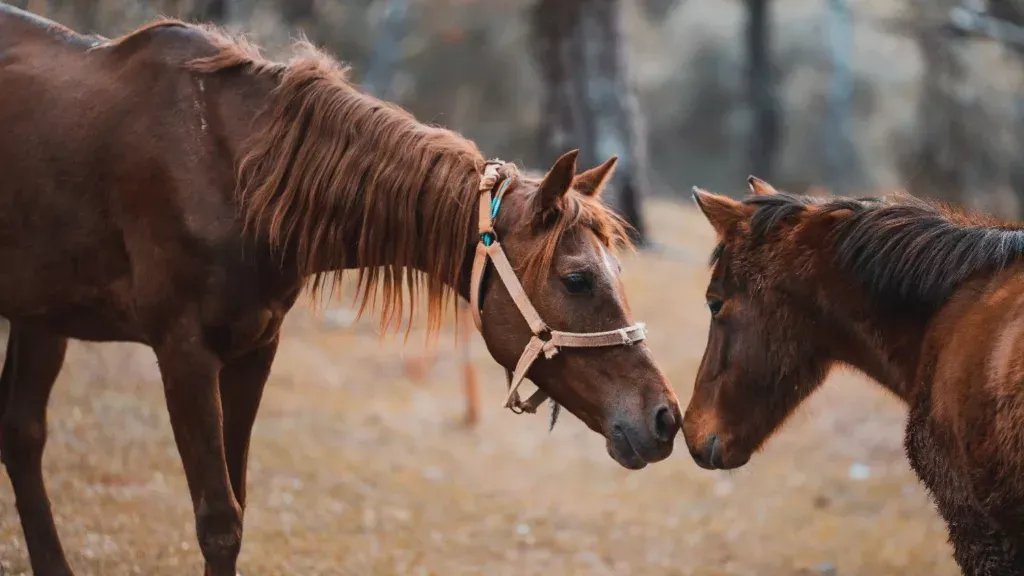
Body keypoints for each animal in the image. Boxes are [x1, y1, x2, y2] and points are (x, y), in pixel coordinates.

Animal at [0, 6, 682, 574]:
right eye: (577, 278)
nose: (665, 418)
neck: (232, 173)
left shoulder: (253, 351)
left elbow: (236, 508)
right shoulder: (184, 355)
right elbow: (218, 521)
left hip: (42, 317)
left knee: (22, 435)